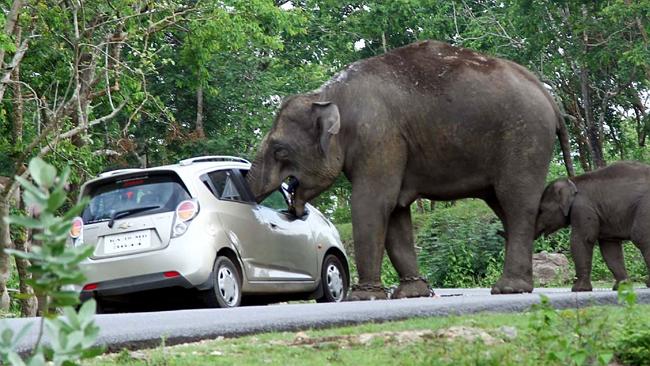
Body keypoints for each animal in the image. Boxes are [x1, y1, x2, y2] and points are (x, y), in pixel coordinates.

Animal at [246, 40, 568, 298]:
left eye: (280, 150)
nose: (291, 209)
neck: (328, 94)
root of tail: (549, 96)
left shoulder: (378, 136)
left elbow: (372, 203)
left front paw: (363, 298)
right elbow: (396, 212)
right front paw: (412, 293)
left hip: (524, 138)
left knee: (516, 203)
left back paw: (508, 288)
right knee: (505, 206)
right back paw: (521, 285)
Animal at [536, 160, 648, 292]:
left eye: (541, 210)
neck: (573, 180)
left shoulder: (582, 208)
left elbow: (582, 240)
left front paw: (578, 289)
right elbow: (610, 248)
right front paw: (622, 287)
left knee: (641, 237)